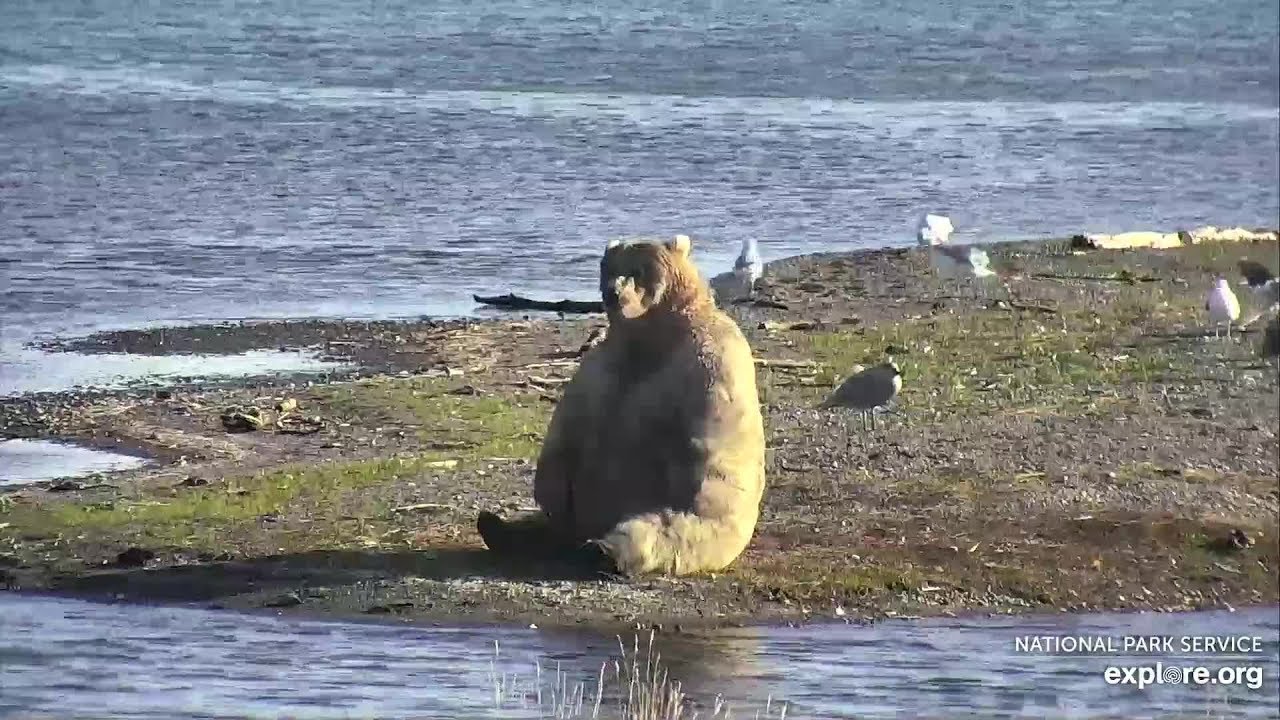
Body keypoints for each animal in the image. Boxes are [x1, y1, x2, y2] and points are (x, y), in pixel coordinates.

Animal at [475, 233, 767, 577]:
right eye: (609, 269)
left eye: (638, 270)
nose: (613, 293)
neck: (646, 339)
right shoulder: (600, 367)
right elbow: (567, 426)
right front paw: (547, 491)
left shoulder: (708, 364)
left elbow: (705, 438)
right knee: (548, 525)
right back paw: (497, 526)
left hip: (697, 522)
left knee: (662, 528)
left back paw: (604, 549)